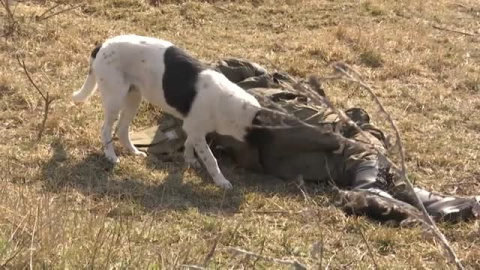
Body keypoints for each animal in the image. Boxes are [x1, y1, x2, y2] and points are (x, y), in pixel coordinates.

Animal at [72, 34, 266, 189]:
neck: (228, 103)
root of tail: (103, 45)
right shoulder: (196, 130)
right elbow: (211, 159)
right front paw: (221, 181)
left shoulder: (193, 129)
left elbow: (189, 143)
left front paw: (189, 160)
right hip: (115, 98)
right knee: (106, 129)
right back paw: (111, 156)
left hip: (134, 97)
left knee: (121, 129)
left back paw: (134, 152)